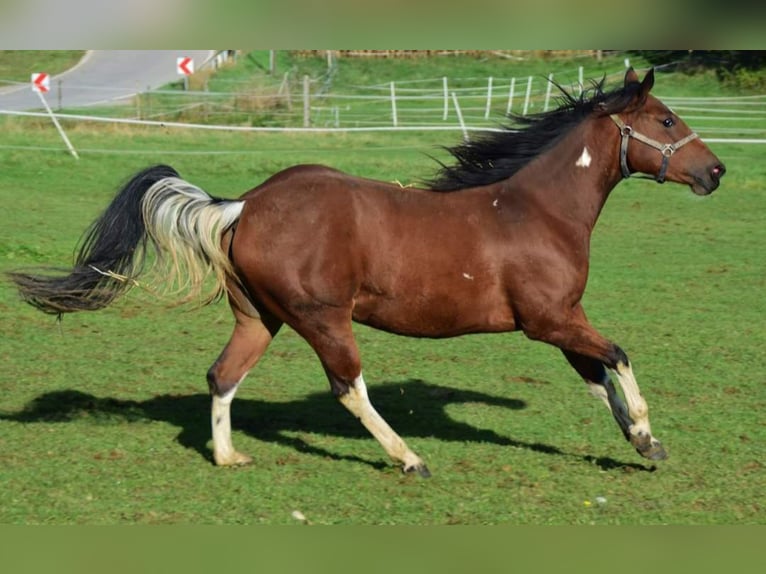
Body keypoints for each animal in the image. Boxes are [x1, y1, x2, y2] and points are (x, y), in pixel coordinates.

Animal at [9, 70, 728, 480]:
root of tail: (245, 204)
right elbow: (618, 357)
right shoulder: (550, 320)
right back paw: (410, 458)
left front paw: (642, 442)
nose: (716, 172)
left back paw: (228, 456)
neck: (537, 210)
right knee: (348, 387)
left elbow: (596, 377)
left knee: (222, 376)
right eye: (666, 119)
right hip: (323, 318)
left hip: (260, 318)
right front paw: (646, 433)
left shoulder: (558, 322)